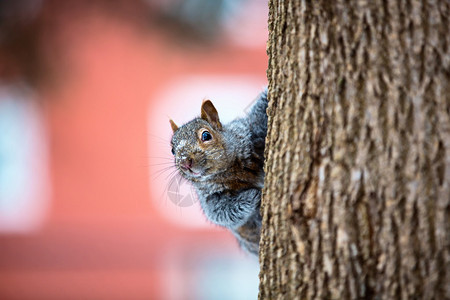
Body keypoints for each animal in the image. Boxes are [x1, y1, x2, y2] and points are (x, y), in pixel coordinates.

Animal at [169, 89, 268, 255]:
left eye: (206, 135)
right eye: (172, 151)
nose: (184, 163)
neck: (229, 170)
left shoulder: (250, 133)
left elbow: (260, 115)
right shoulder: (209, 198)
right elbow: (221, 213)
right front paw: (253, 194)